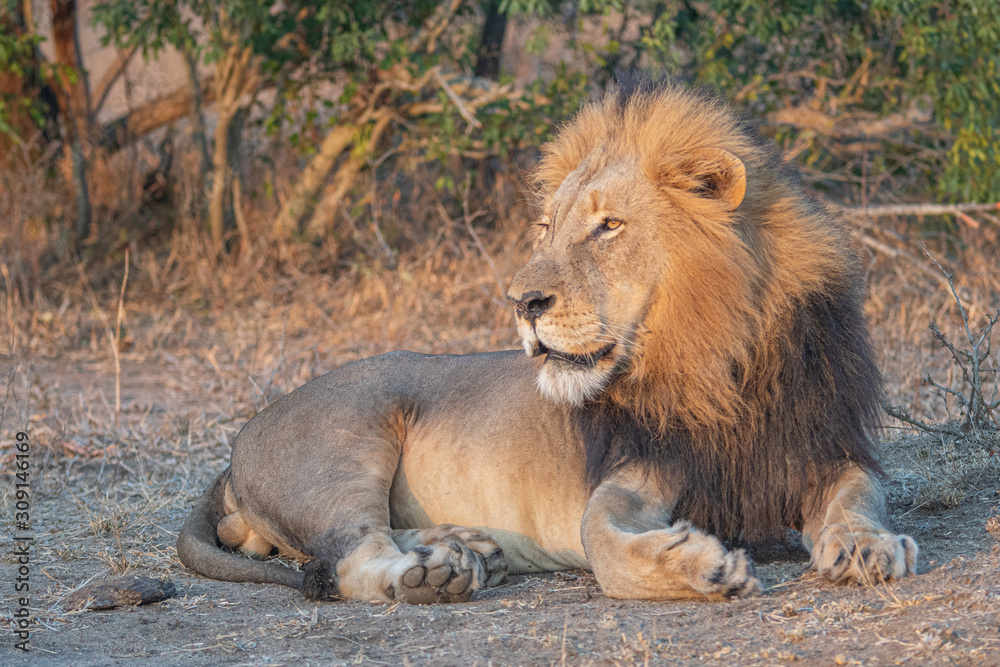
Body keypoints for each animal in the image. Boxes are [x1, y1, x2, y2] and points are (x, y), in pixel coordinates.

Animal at [177, 80, 918, 603]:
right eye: (546, 228)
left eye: (609, 226)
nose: (521, 302)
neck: (715, 360)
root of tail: (238, 444)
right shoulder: (632, 472)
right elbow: (600, 538)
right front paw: (699, 565)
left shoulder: (822, 448)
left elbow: (862, 495)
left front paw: (866, 547)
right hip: (345, 444)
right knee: (349, 552)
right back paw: (430, 575)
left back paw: (461, 546)